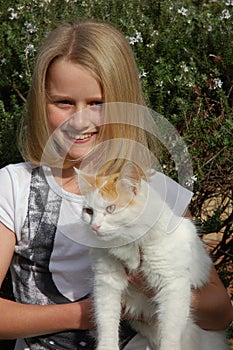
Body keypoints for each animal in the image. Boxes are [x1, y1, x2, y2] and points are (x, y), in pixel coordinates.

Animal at [75, 164, 227, 350]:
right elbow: (107, 325)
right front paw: (107, 346)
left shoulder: (172, 286)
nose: (94, 227)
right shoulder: (106, 283)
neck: (129, 245)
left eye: (111, 209)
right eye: (88, 211)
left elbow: (170, 333)